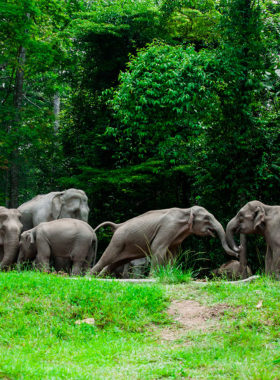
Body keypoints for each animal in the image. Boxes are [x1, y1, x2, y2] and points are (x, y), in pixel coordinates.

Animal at [89, 206, 238, 274]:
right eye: (207, 218)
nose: (238, 251)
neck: (186, 210)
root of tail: (117, 226)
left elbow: (173, 253)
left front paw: (169, 273)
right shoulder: (168, 227)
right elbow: (157, 248)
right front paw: (153, 277)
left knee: (112, 264)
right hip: (118, 241)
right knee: (106, 259)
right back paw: (87, 277)